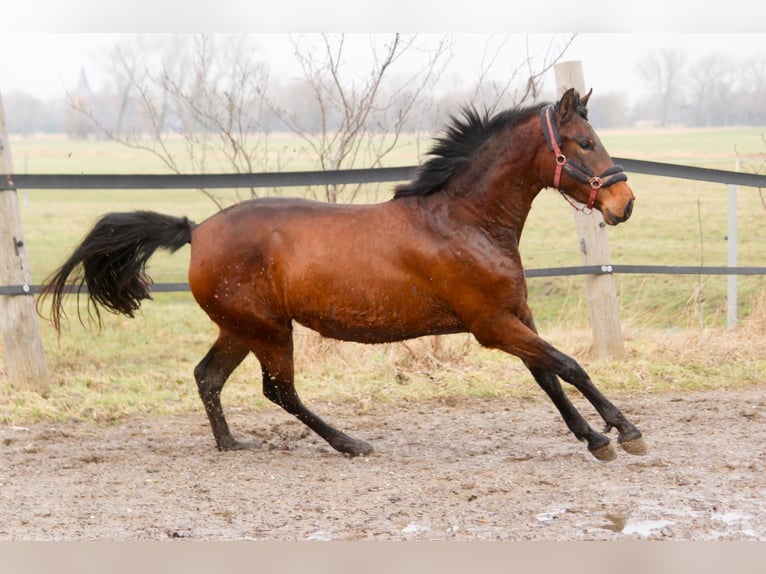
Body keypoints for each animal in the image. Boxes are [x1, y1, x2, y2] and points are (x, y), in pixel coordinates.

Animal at [40, 88, 645, 462]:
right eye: (585, 143)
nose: (625, 204)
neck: (464, 221)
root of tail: (197, 231)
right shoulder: (491, 326)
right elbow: (569, 366)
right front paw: (624, 431)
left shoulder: (514, 316)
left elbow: (549, 376)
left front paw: (595, 438)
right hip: (268, 330)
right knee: (278, 389)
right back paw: (349, 443)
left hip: (239, 327)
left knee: (208, 377)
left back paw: (232, 444)